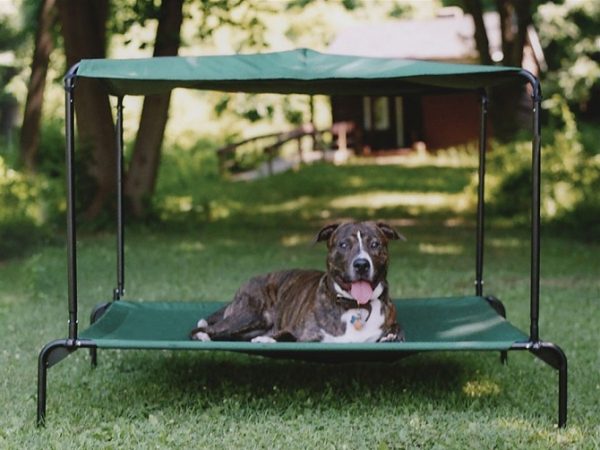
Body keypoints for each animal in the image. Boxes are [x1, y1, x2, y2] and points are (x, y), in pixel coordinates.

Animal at [191, 221, 408, 342]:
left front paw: (392, 334)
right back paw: (203, 335)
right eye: (343, 245)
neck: (356, 306)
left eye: (375, 244)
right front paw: (268, 340)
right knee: (203, 329)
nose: (361, 264)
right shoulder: (297, 331)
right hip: (249, 315)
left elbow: (396, 329)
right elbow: (288, 335)